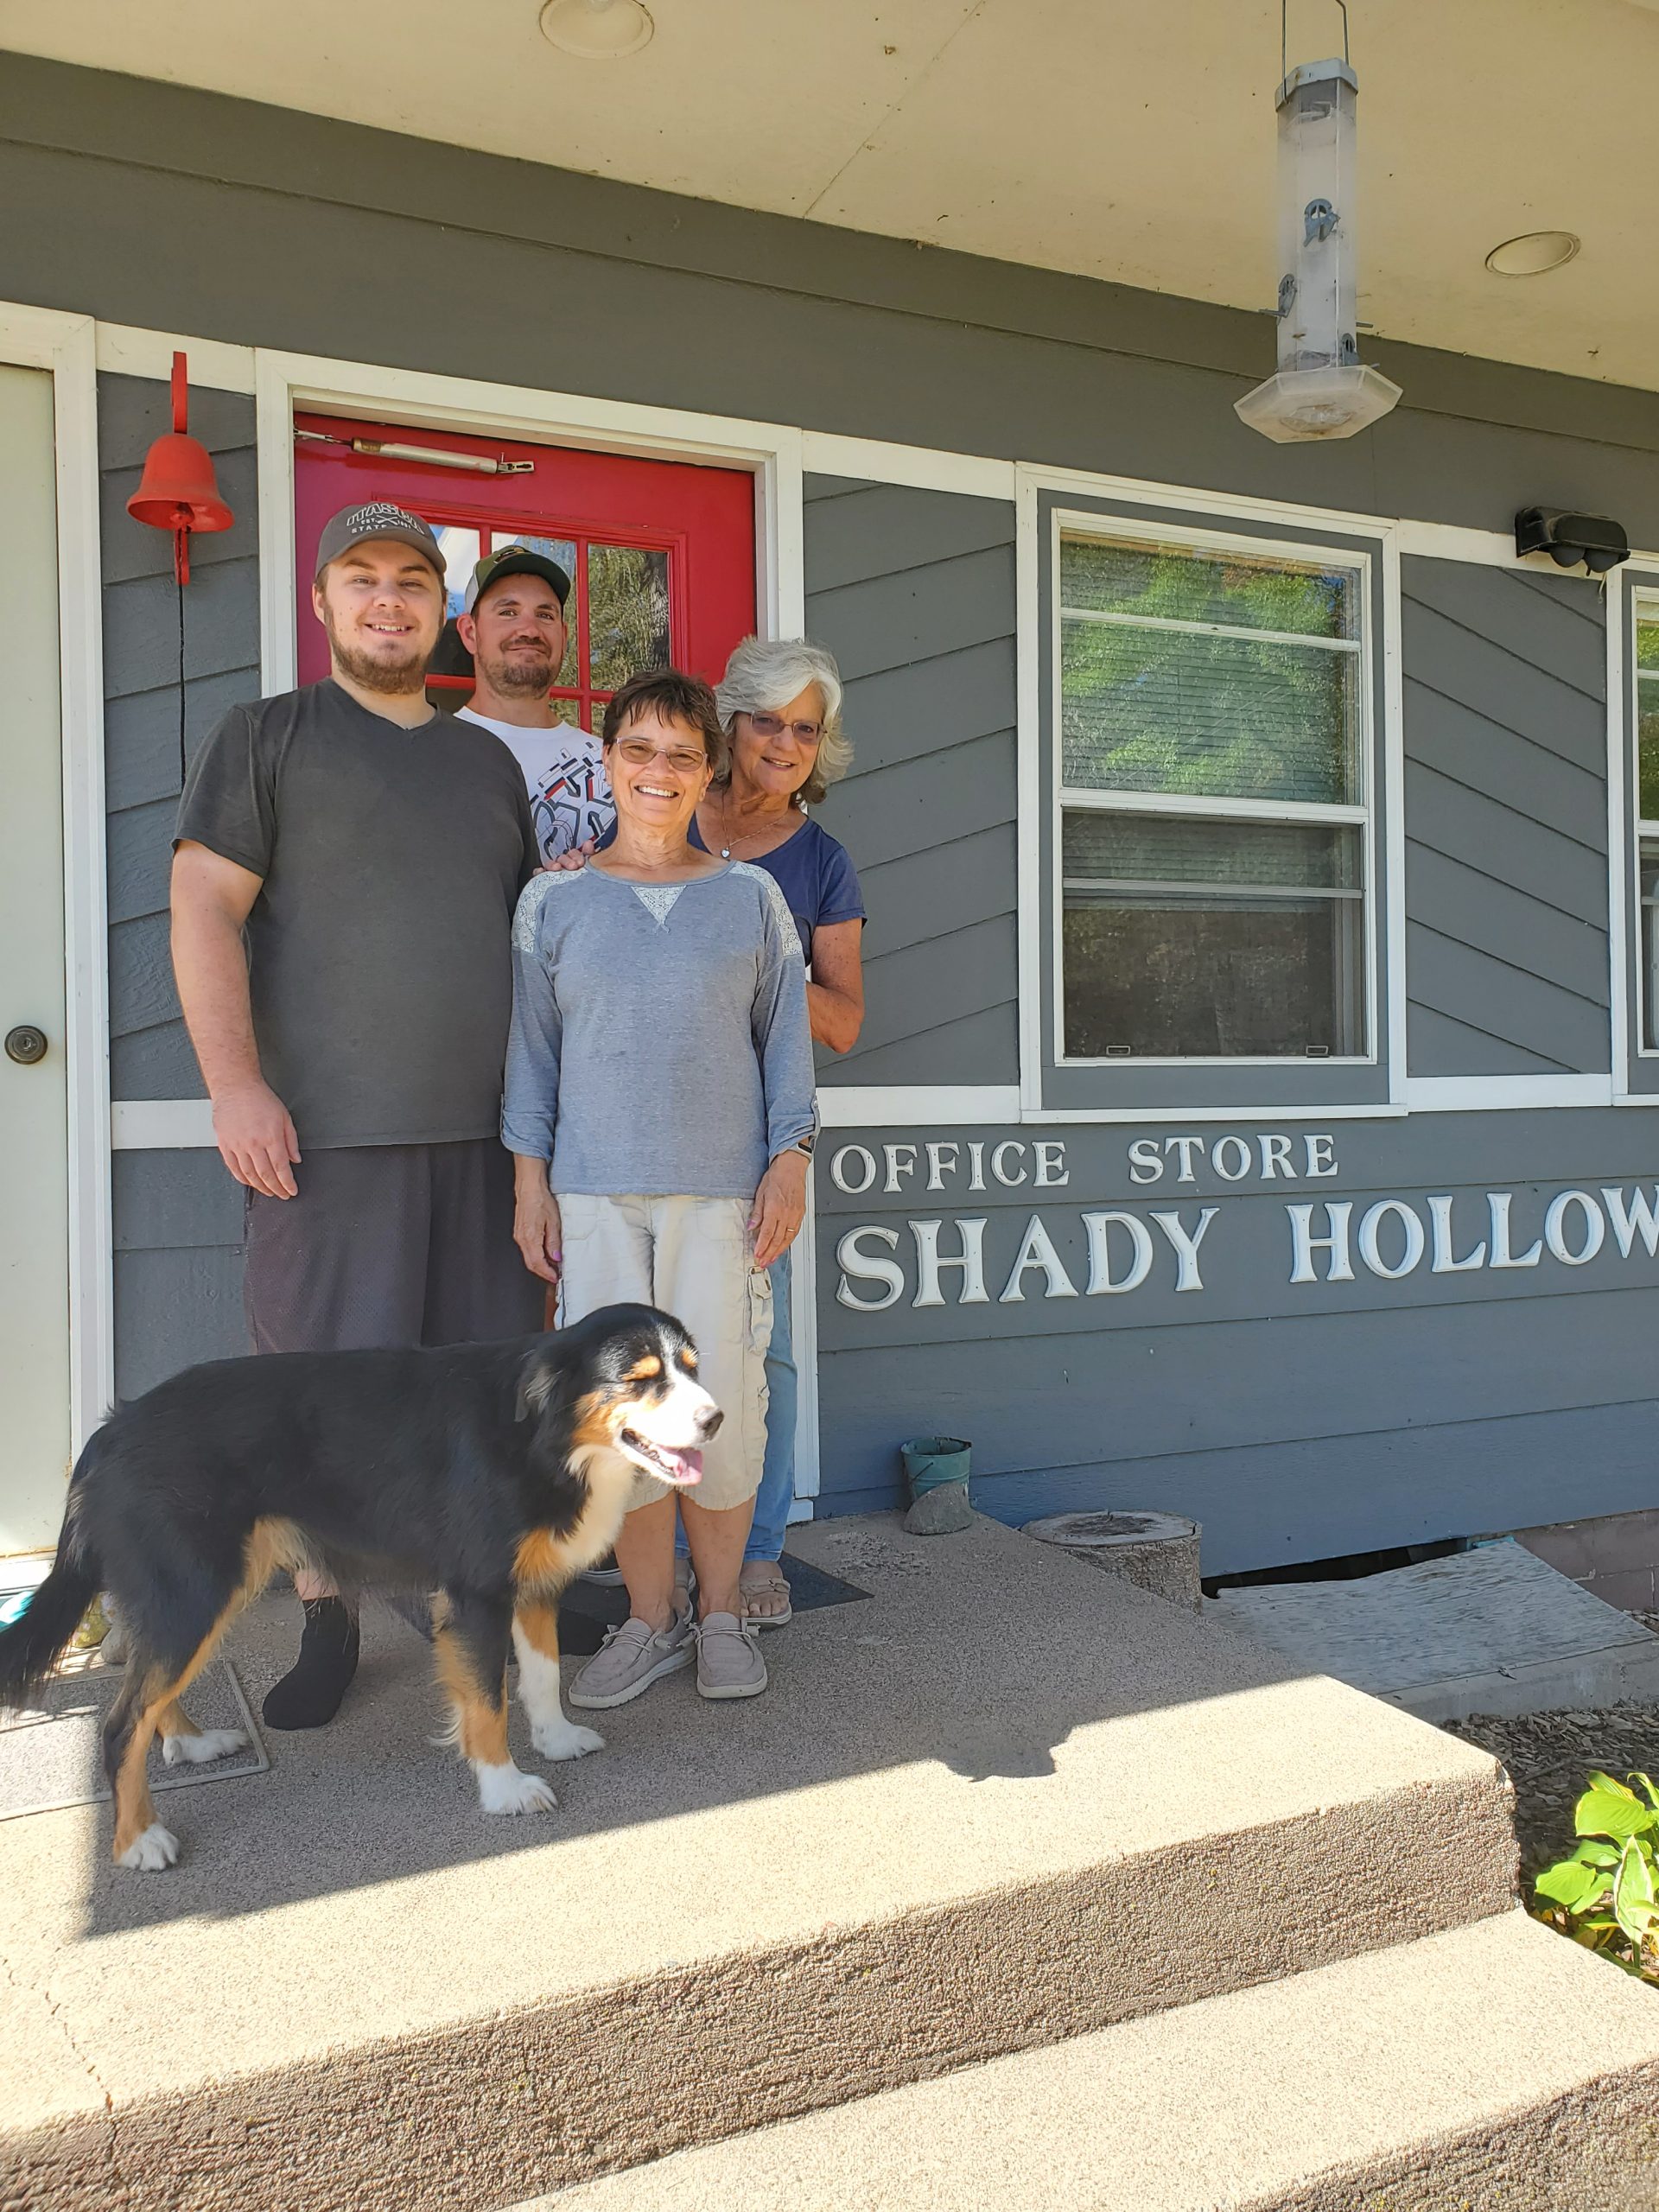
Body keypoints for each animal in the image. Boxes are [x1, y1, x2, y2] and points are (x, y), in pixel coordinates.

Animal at [3, 1300, 725, 1875]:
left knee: (150, 1693)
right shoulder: (476, 1595)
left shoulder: (533, 1586)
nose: (716, 1418)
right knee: (121, 1720)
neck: (544, 1434)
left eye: (692, 1368)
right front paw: (505, 1789)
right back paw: (138, 1840)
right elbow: (487, 1703)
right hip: (194, 1590)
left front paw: (555, 1740)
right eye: (640, 1380)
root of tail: (108, 1431)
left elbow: (542, 1677)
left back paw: (191, 1743)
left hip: (199, 1592)